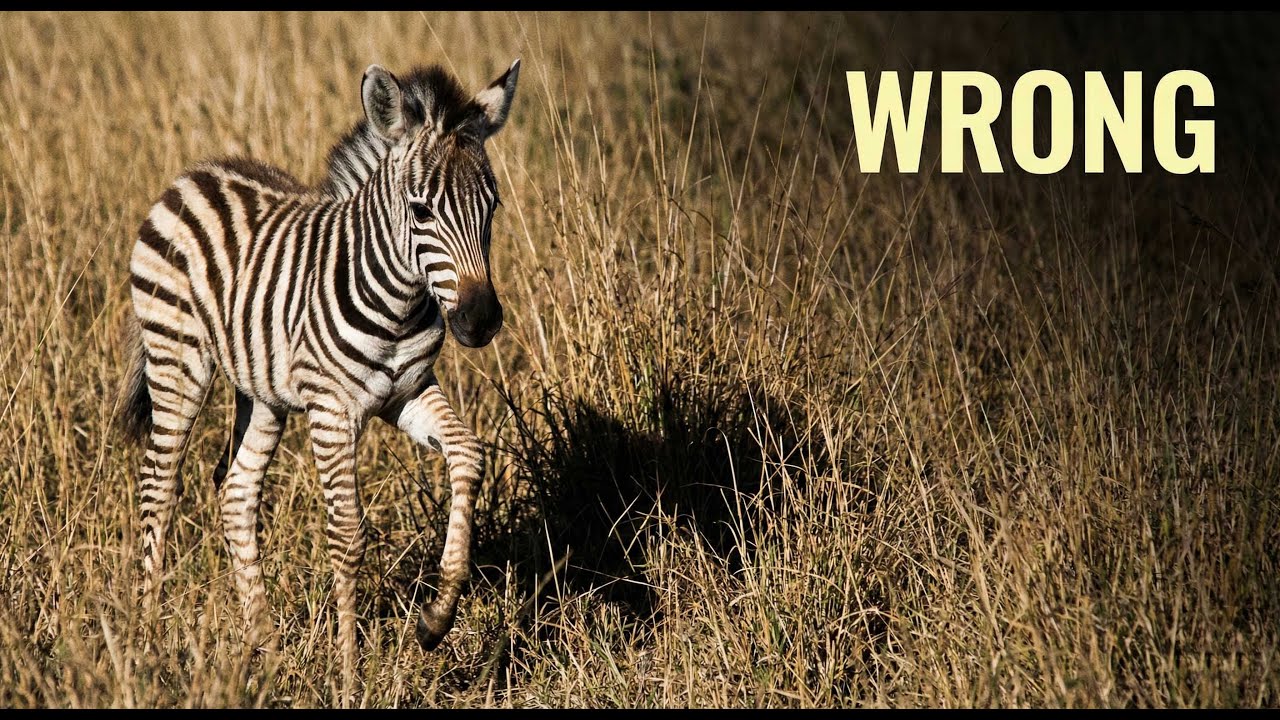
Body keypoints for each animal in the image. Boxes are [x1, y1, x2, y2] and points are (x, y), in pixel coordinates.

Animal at [115, 58, 521, 690]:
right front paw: (351, 676)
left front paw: (436, 619)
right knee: (159, 488)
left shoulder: (406, 393)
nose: (480, 322)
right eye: (421, 211)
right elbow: (348, 534)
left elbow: (469, 455)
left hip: (262, 392)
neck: (399, 300)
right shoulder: (333, 410)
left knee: (236, 493)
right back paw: (147, 642)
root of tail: (191, 175)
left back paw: (267, 649)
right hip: (176, 358)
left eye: (493, 206)